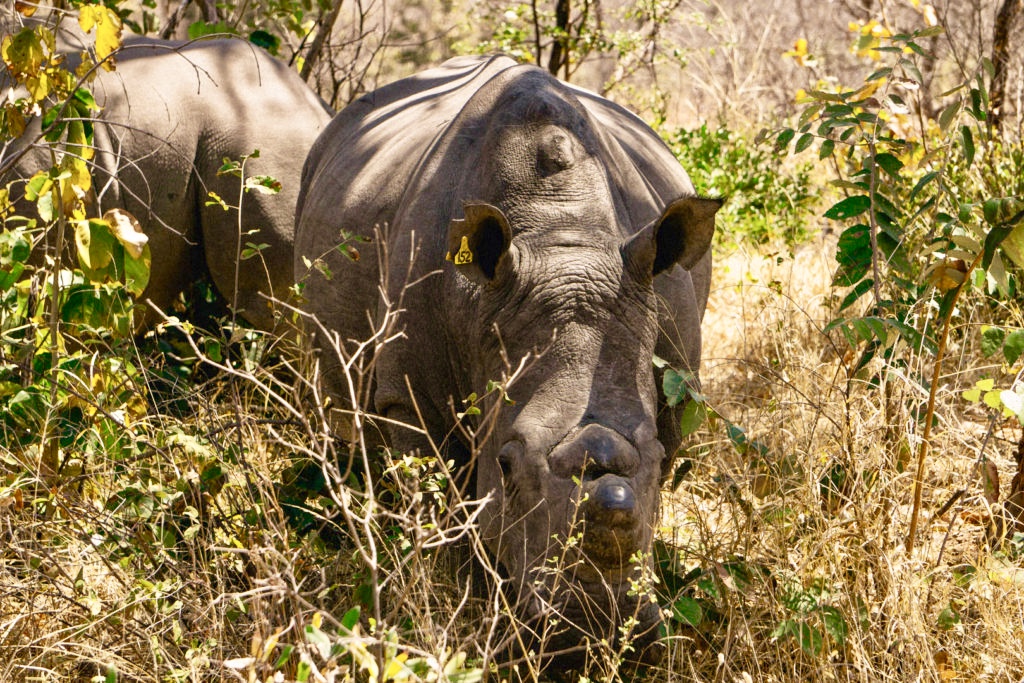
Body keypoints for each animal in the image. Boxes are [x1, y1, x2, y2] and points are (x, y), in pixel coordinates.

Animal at [294, 55, 720, 664]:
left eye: (663, 460)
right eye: (507, 464)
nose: (590, 634)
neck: (564, 240)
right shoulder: (409, 396)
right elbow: (439, 507)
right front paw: (467, 609)